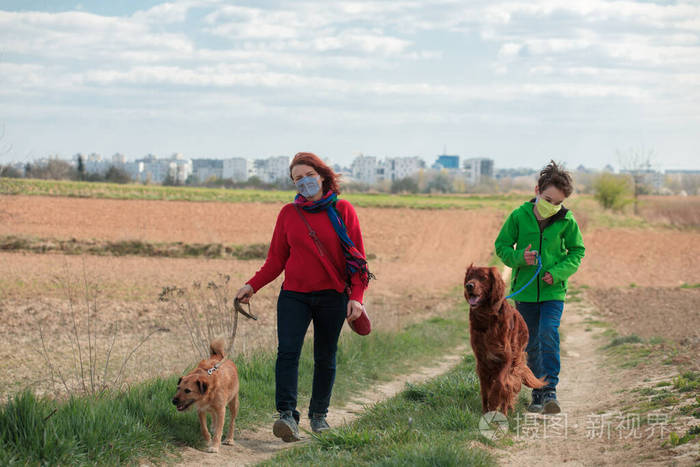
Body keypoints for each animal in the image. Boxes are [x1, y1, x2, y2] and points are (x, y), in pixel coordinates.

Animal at [464, 266, 548, 414]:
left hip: (516, 359)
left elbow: (500, 383)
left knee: (508, 386)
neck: (487, 319)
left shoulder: (506, 358)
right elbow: (484, 389)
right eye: (469, 277)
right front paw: (486, 410)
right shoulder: (482, 361)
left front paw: (494, 401)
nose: (469, 286)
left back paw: (505, 409)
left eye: (483, 277)